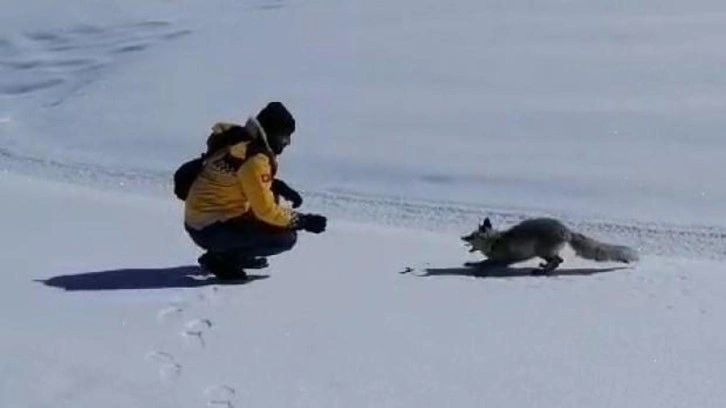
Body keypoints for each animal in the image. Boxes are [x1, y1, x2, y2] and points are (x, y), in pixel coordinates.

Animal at [464, 217, 640, 274]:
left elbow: (486, 262)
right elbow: (485, 261)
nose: (462, 237)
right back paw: (544, 268)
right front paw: (472, 264)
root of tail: (566, 231)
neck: (495, 242)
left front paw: (475, 266)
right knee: (558, 261)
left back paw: (542, 270)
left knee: (559, 261)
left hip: (543, 251)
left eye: (471, 236)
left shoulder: (504, 259)